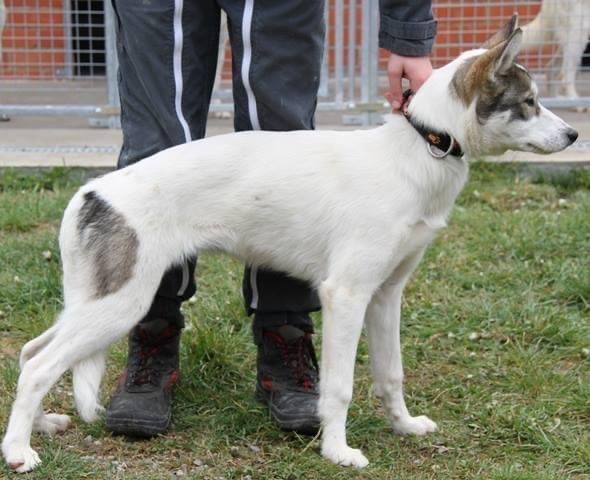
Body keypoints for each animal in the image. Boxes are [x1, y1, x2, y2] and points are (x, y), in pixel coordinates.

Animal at [2, 15, 580, 472]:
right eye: (529, 103)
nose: (574, 135)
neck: (418, 148)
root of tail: (93, 191)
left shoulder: (386, 297)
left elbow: (390, 375)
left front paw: (405, 426)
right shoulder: (345, 296)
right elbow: (340, 387)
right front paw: (338, 452)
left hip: (94, 303)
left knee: (32, 352)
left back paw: (43, 425)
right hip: (122, 304)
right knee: (37, 367)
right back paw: (19, 452)